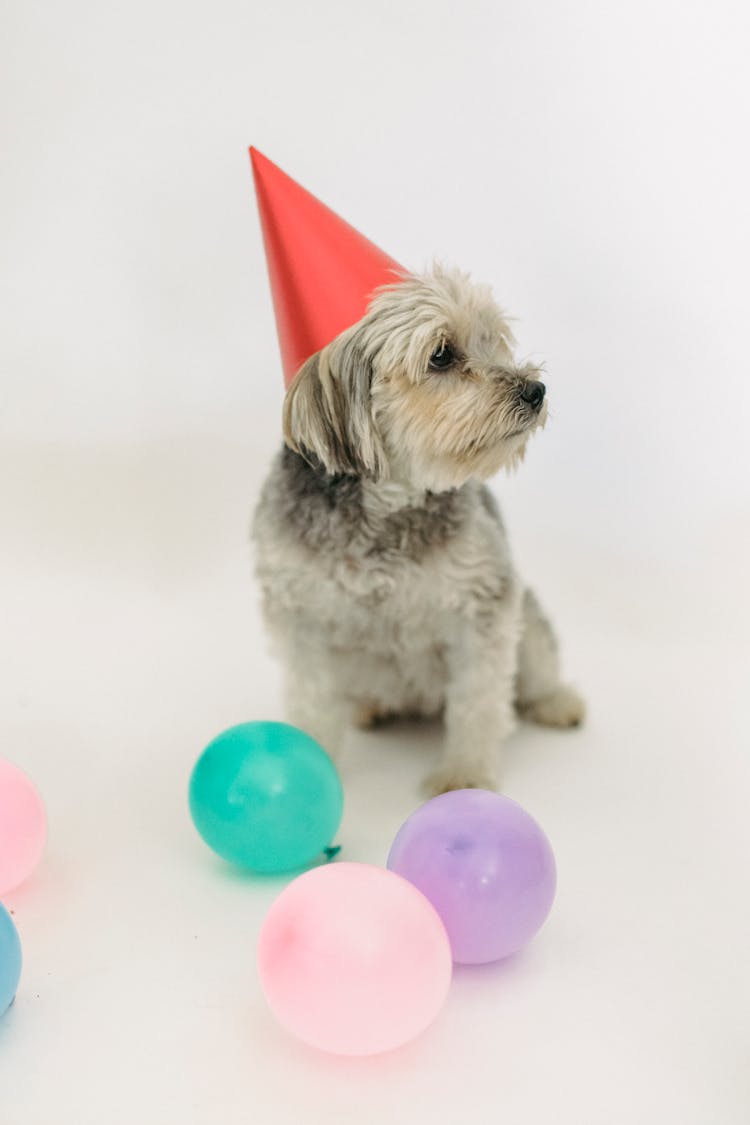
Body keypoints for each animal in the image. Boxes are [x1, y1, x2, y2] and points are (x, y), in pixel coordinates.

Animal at [254, 264, 584, 796]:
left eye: (493, 340)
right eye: (441, 355)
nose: (535, 391)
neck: (387, 506)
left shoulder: (484, 604)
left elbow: (477, 701)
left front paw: (465, 775)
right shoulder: (299, 615)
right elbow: (311, 700)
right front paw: (306, 768)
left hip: (529, 624)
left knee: (537, 672)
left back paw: (556, 702)